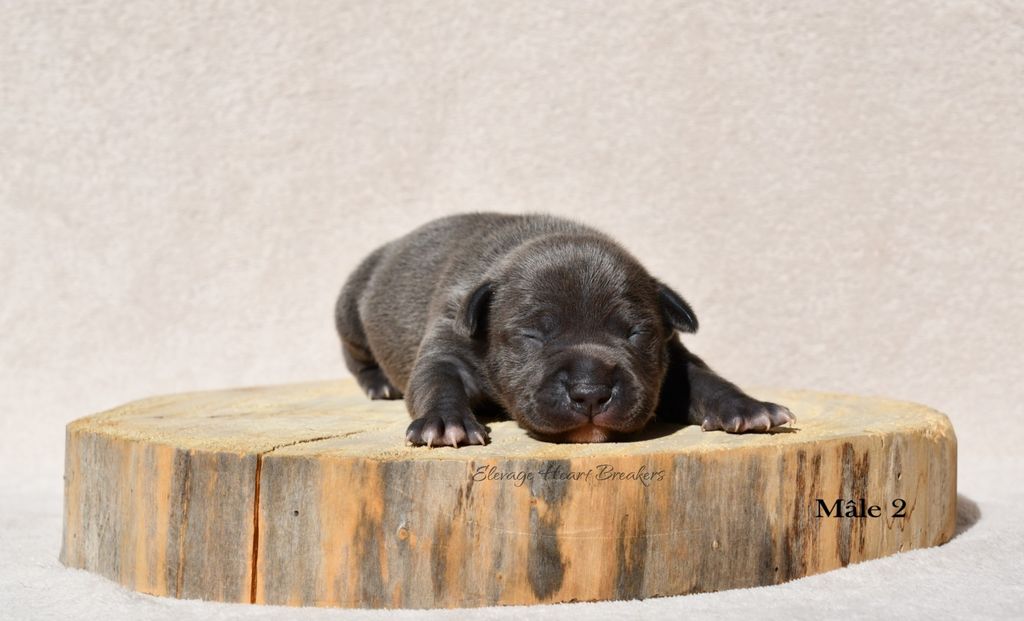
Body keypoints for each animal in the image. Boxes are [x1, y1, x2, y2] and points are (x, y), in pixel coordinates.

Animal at [335, 214, 790, 446]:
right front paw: (445, 422)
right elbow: (435, 380)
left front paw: (748, 408)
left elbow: (705, 377)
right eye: (533, 336)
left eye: (634, 334)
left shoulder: (670, 354)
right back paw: (380, 384)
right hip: (349, 309)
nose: (590, 393)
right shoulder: (448, 343)